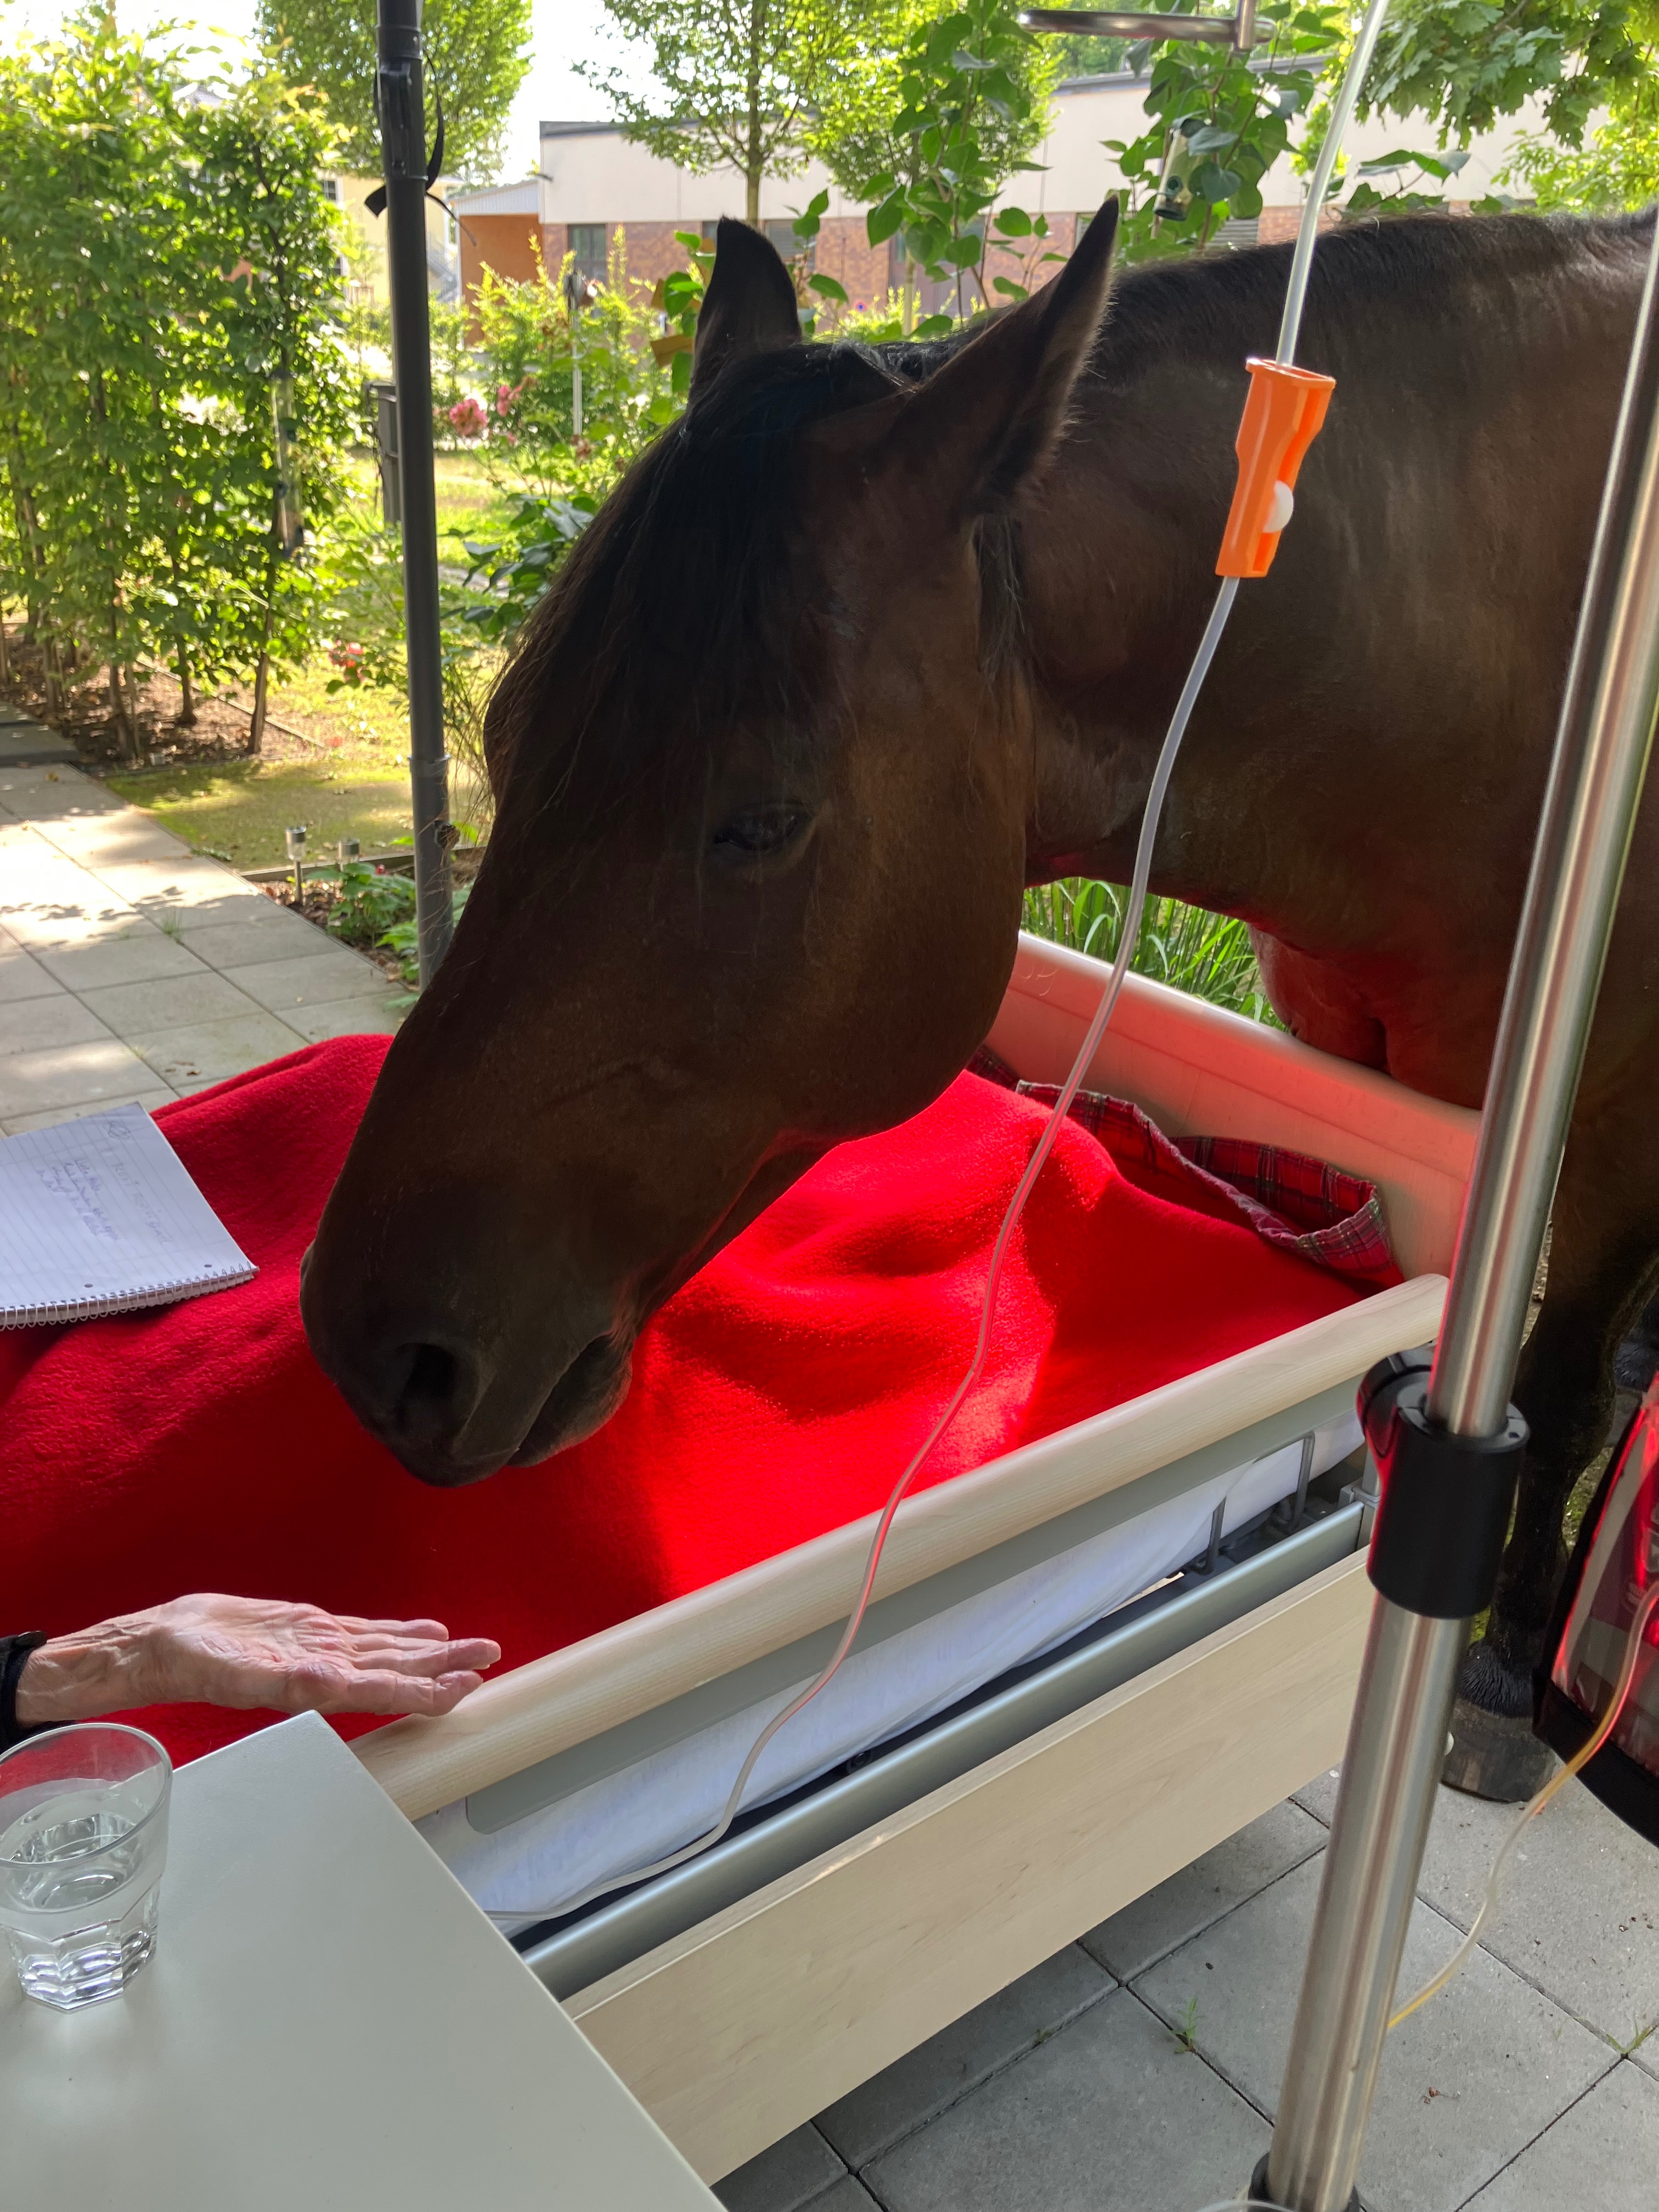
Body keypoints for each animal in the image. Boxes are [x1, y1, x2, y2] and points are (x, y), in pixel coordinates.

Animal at [300, 199, 1659, 1800]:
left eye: (756, 821)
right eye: (505, 737)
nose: (370, 1347)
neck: (1510, 671)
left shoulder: (1603, 1129)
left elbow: (1562, 1383)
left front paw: (1501, 1674)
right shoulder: (1362, 1042)